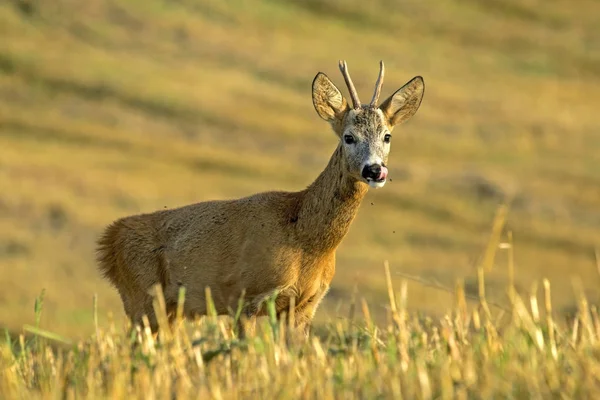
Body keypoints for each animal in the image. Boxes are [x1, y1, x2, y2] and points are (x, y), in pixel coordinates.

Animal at [96, 61, 424, 336]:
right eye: (349, 137)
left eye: (387, 136)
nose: (375, 170)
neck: (304, 239)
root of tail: (108, 241)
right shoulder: (247, 297)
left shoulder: (304, 307)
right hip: (142, 298)